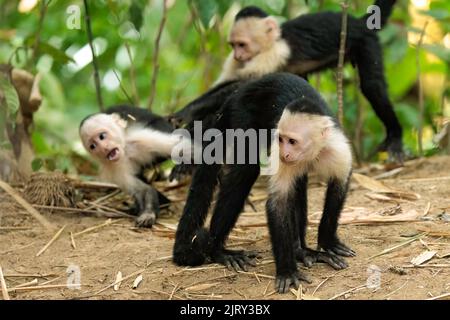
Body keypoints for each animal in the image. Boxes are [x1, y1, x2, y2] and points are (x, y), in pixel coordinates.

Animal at [174, 72, 354, 292]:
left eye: (292, 141)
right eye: (281, 139)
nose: (285, 153)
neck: (313, 152)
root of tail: (241, 90)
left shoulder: (338, 149)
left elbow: (339, 186)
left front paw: (327, 243)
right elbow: (278, 203)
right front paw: (287, 271)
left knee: (298, 184)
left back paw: (301, 250)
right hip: (242, 113)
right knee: (245, 171)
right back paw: (218, 251)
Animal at [215, 0, 404, 162]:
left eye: (242, 45)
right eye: (233, 45)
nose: (238, 56)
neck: (275, 40)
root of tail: (359, 22)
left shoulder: (276, 53)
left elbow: (245, 84)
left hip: (366, 42)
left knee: (372, 86)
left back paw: (395, 136)